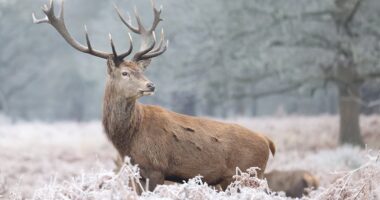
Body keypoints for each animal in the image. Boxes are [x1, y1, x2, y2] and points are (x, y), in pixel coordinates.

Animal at [32, 0, 274, 191]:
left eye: (142, 71)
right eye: (125, 73)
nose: (151, 85)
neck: (127, 140)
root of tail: (268, 141)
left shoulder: (156, 168)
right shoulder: (136, 172)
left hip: (247, 175)